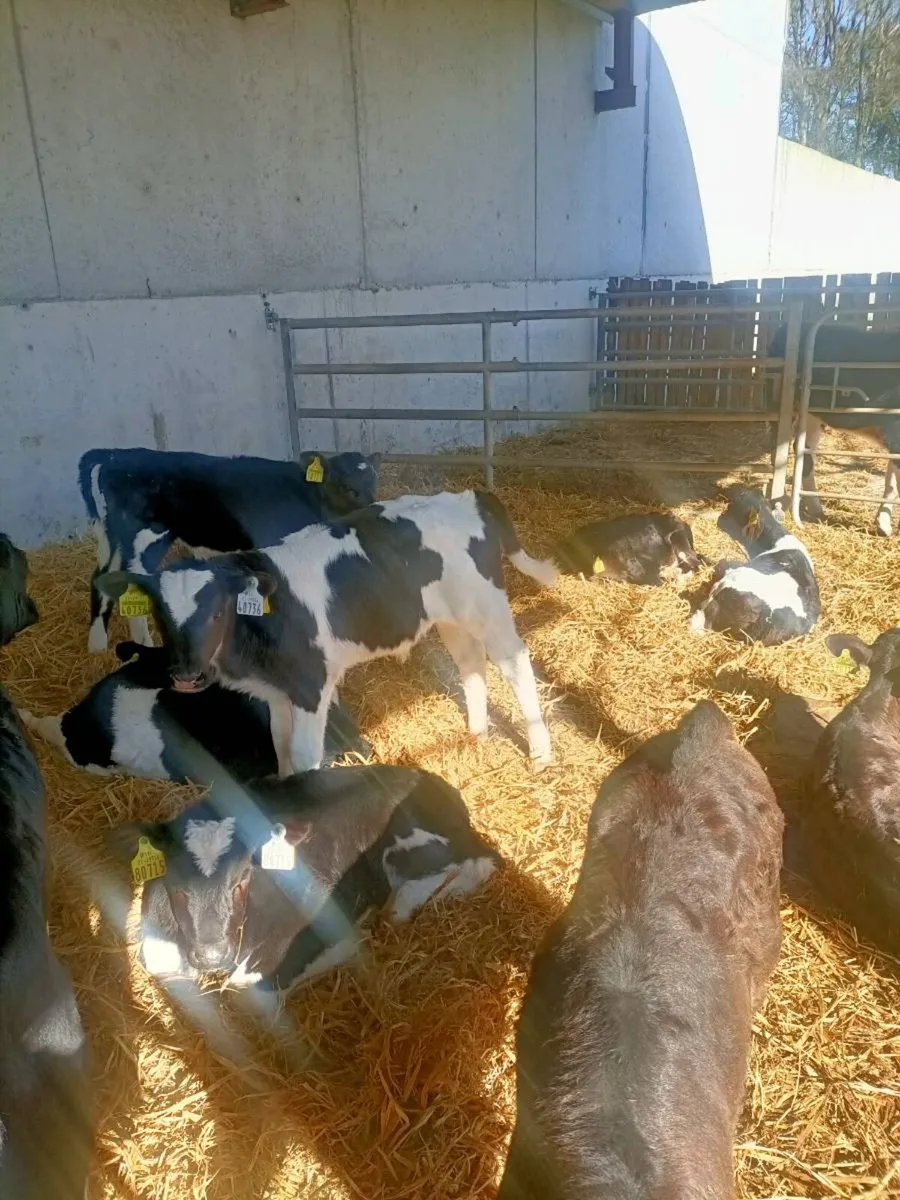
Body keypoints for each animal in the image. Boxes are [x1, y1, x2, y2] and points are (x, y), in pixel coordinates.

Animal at [79, 446, 381, 652]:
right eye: (344, 485)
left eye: (373, 481)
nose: (371, 508)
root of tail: (114, 455)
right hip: (145, 539)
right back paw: (143, 642)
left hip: (113, 539)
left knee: (101, 578)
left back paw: (97, 645)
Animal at [94, 490, 557, 774]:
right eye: (160, 613)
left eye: (217, 610)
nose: (187, 676)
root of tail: (468, 497)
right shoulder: (278, 692)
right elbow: (280, 747)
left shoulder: (311, 686)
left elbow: (304, 756)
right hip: (450, 617)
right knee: (470, 664)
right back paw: (477, 733)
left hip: (488, 609)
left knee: (516, 665)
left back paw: (540, 753)